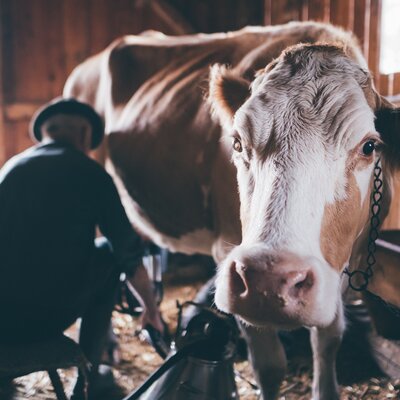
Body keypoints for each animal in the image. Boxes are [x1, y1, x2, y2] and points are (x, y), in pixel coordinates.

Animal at [64, 22, 398, 400]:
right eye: (237, 142)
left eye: (369, 146)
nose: (270, 280)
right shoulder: (228, 252)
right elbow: (270, 366)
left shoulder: (340, 264)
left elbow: (328, 340)